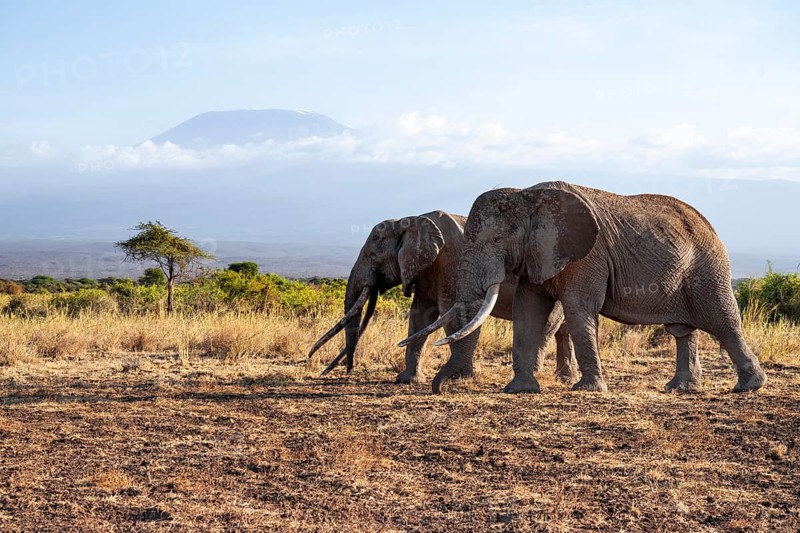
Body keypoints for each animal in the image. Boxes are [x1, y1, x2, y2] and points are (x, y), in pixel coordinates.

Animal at [308, 210, 578, 383]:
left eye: (373, 255)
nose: (343, 371)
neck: (410, 220)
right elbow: (419, 316)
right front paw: (406, 380)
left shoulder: (452, 261)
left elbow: (455, 316)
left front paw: (460, 378)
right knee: (563, 329)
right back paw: (564, 378)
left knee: (549, 324)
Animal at [400, 182, 768, 395]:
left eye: (496, 239)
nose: (437, 389)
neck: (528, 195)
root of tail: (711, 226)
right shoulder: (538, 254)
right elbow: (528, 312)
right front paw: (519, 390)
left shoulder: (587, 255)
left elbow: (578, 310)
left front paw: (588, 390)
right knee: (682, 330)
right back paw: (680, 389)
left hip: (708, 268)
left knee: (722, 323)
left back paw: (748, 388)